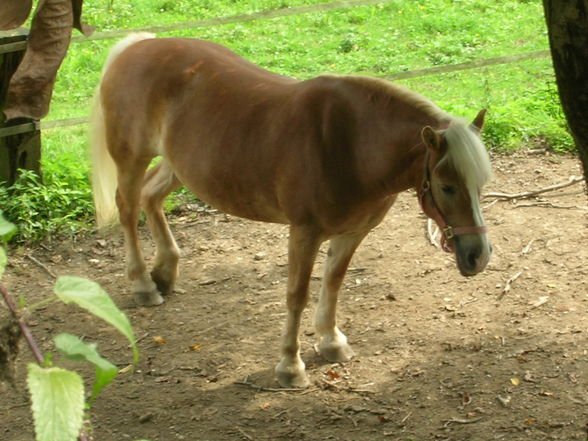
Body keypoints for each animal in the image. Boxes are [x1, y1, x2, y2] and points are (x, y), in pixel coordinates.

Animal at [92, 33, 492, 384]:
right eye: (446, 186)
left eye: (481, 183)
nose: (478, 256)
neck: (350, 143)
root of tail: (138, 45)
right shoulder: (304, 232)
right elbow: (296, 295)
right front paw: (289, 364)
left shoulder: (353, 232)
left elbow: (333, 281)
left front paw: (331, 341)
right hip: (132, 157)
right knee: (128, 207)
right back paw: (143, 283)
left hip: (179, 166)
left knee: (151, 196)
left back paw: (165, 270)